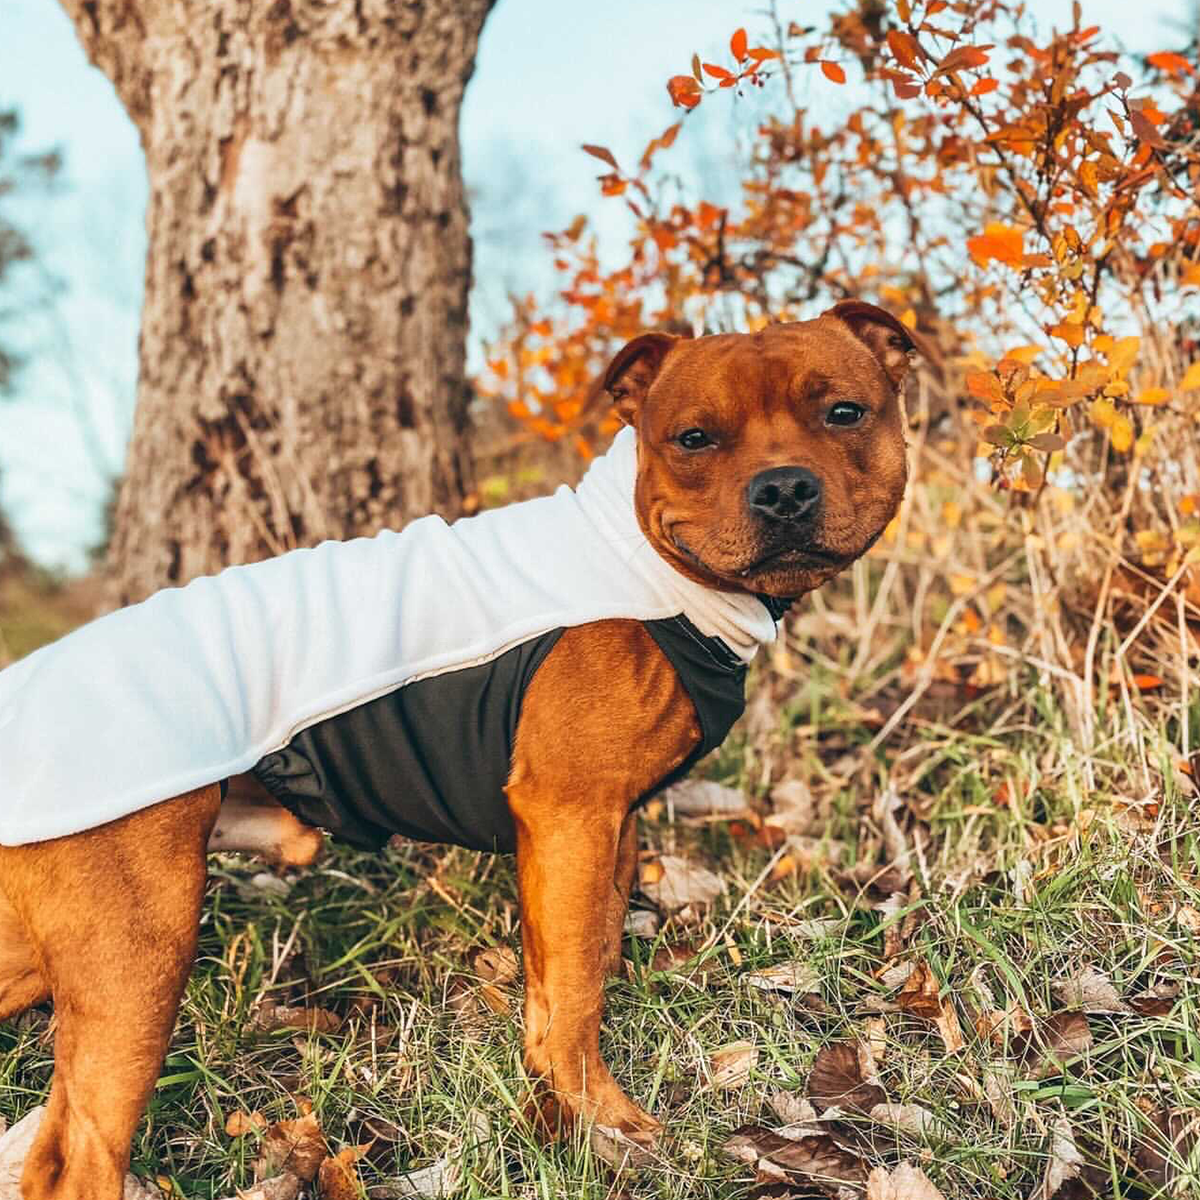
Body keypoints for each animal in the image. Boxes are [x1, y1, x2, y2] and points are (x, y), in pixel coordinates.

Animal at [0, 300, 907, 1190]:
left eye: (844, 413)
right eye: (694, 438)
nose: (783, 489)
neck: (645, 562)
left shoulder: (603, 830)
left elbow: (573, 970)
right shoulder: (572, 820)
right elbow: (578, 988)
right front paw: (611, 1122)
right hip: (140, 954)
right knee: (74, 1158)